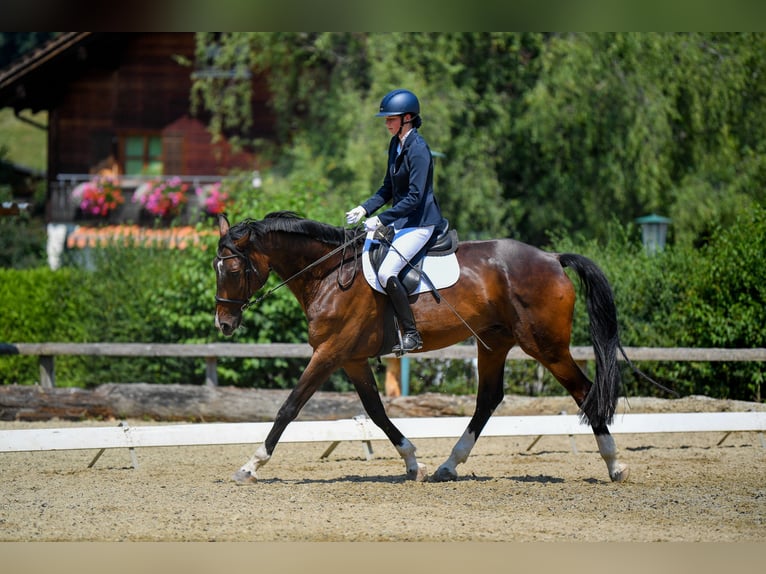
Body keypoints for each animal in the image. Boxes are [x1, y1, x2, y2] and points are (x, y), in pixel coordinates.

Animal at [214, 214, 632, 484]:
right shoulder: (352, 359)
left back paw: (615, 465)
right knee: (488, 400)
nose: (224, 324)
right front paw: (412, 462)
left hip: (546, 346)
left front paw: (251, 466)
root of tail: (552, 258)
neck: (329, 274)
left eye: (231, 270)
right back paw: (447, 466)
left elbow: (289, 407)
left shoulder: (330, 352)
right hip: (495, 342)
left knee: (583, 390)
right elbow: (376, 412)